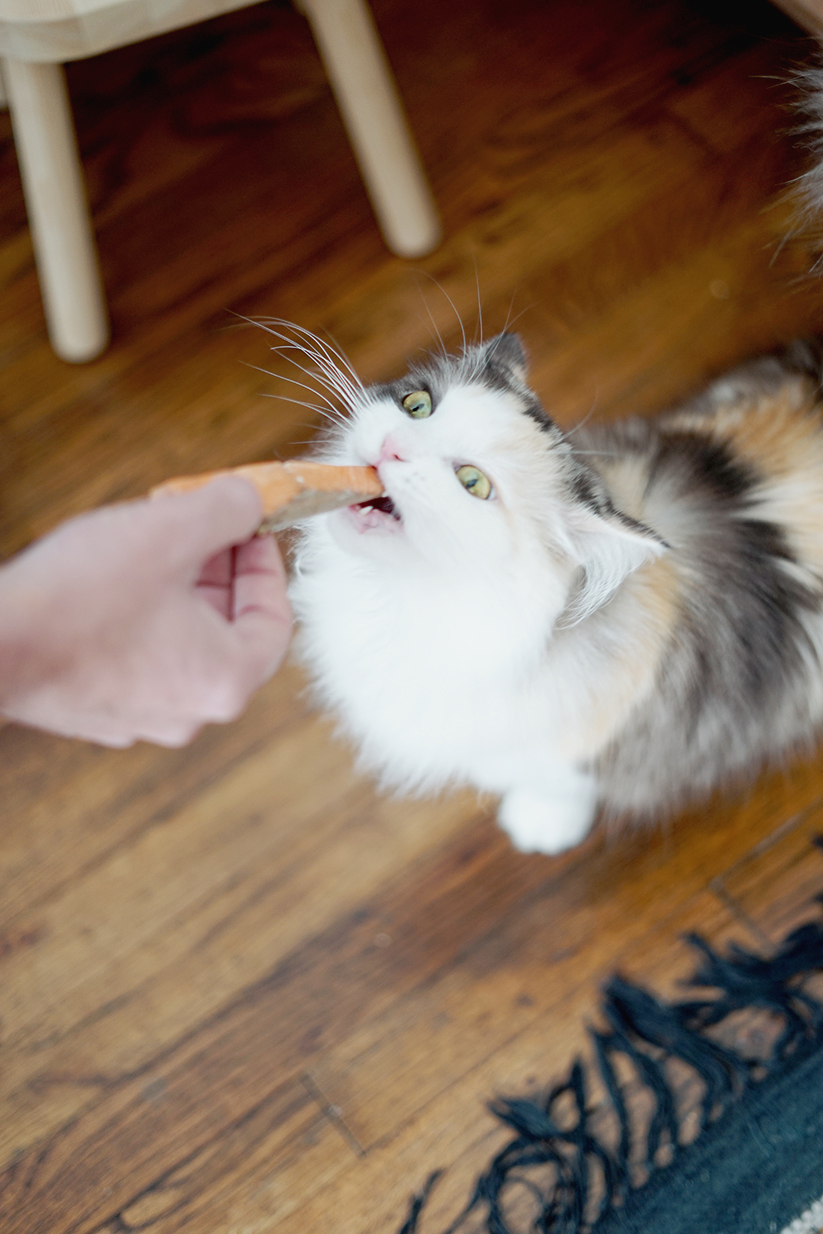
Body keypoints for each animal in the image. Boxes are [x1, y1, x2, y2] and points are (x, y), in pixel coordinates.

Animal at [285, 323, 823, 853]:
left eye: (472, 482)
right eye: (417, 406)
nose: (391, 447)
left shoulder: (576, 743)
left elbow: (560, 785)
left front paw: (540, 825)